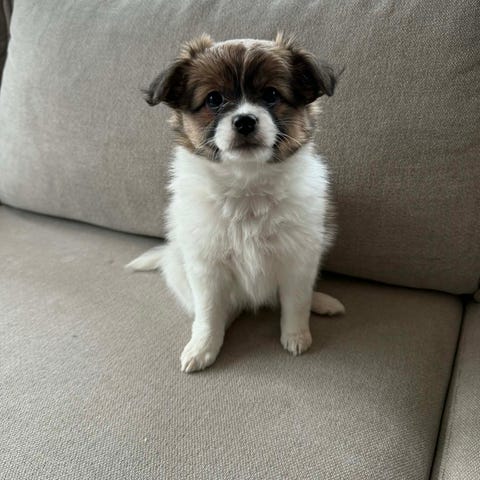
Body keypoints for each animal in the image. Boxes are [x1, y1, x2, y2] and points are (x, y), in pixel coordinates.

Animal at [127, 33, 345, 373]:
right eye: (214, 99)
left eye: (271, 95)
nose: (244, 121)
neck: (246, 183)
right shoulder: (205, 267)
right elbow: (208, 313)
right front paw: (203, 346)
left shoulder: (299, 258)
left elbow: (295, 303)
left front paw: (296, 336)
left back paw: (321, 302)